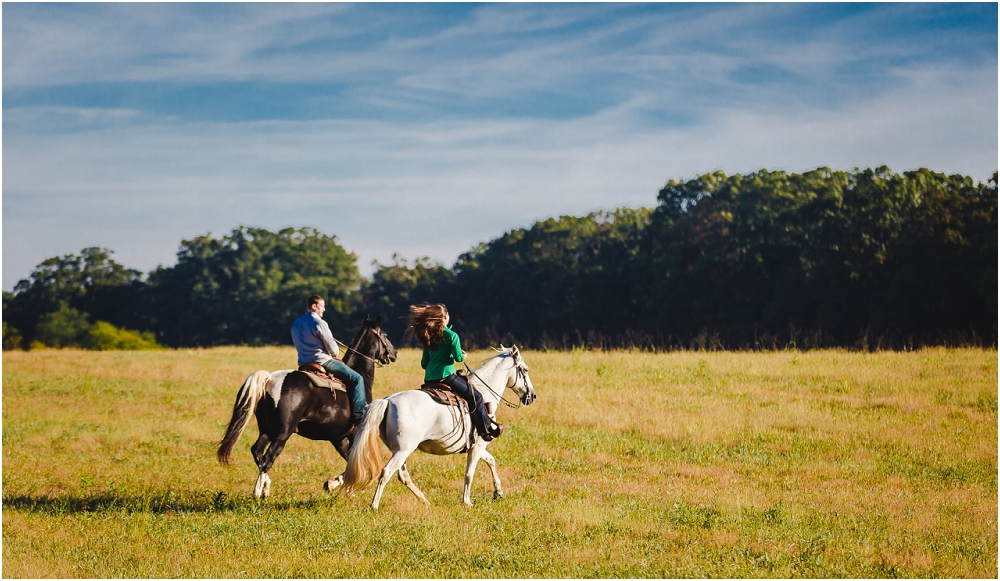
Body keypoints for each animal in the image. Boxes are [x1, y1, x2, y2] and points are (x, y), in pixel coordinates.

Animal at [218, 314, 394, 496]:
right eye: (385, 335)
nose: (394, 353)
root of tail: (270, 379)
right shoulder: (354, 434)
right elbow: (352, 460)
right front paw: (343, 487)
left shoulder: (337, 437)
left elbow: (348, 459)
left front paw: (334, 485)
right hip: (282, 433)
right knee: (268, 458)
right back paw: (257, 492)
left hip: (267, 430)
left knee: (257, 452)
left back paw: (266, 487)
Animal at [342, 344, 536, 508]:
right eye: (525, 370)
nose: (532, 396)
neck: (484, 393)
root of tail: (388, 400)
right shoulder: (479, 445)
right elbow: (470, 473)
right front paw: (467, 501)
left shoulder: (476, 446)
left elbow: (491, 461)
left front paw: (498, 491)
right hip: (403, 451)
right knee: (386, 472)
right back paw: (374, 505)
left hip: (398, 450)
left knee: (402, 476)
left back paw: (423, 499)